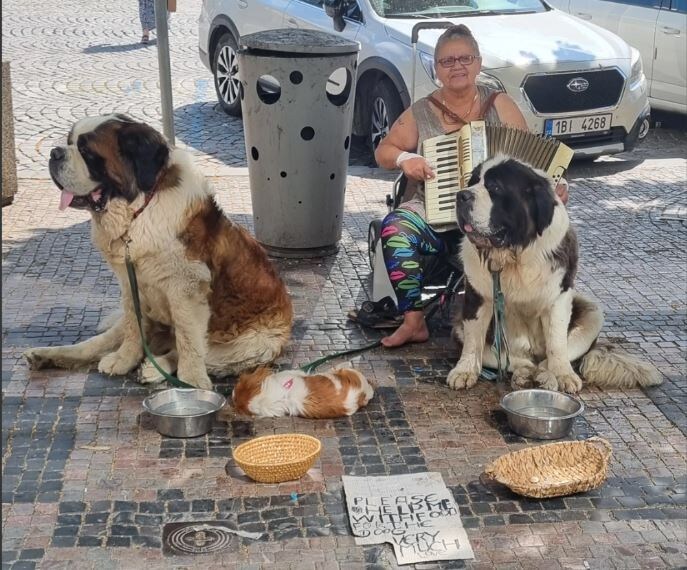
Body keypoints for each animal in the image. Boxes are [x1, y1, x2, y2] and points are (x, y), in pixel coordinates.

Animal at [23, 113, 292, 388]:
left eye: (87, 151)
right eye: (69, 142)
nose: (55, 152)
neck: (139, 210)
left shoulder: (186, 289)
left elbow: (188, 341)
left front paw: (192, 382)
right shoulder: (129, 284)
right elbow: (134, 326)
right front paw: (124, 360)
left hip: (252, 344)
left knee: (199, 351)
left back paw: (155, 368)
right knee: (99, 343)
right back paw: (46, 355)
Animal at [448, 153, 664, 392]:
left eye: (494, 187)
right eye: (472, 182)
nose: (461, 195)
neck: (515, 254)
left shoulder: (559, 296)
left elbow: (557, 343)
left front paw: (562, 375)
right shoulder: (476, 297)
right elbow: (473, 339)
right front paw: (464, 370)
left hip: (592, 313)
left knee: (547, 359)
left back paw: (547, 377)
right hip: (459, 319)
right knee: (514, 360)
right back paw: (525, 374)